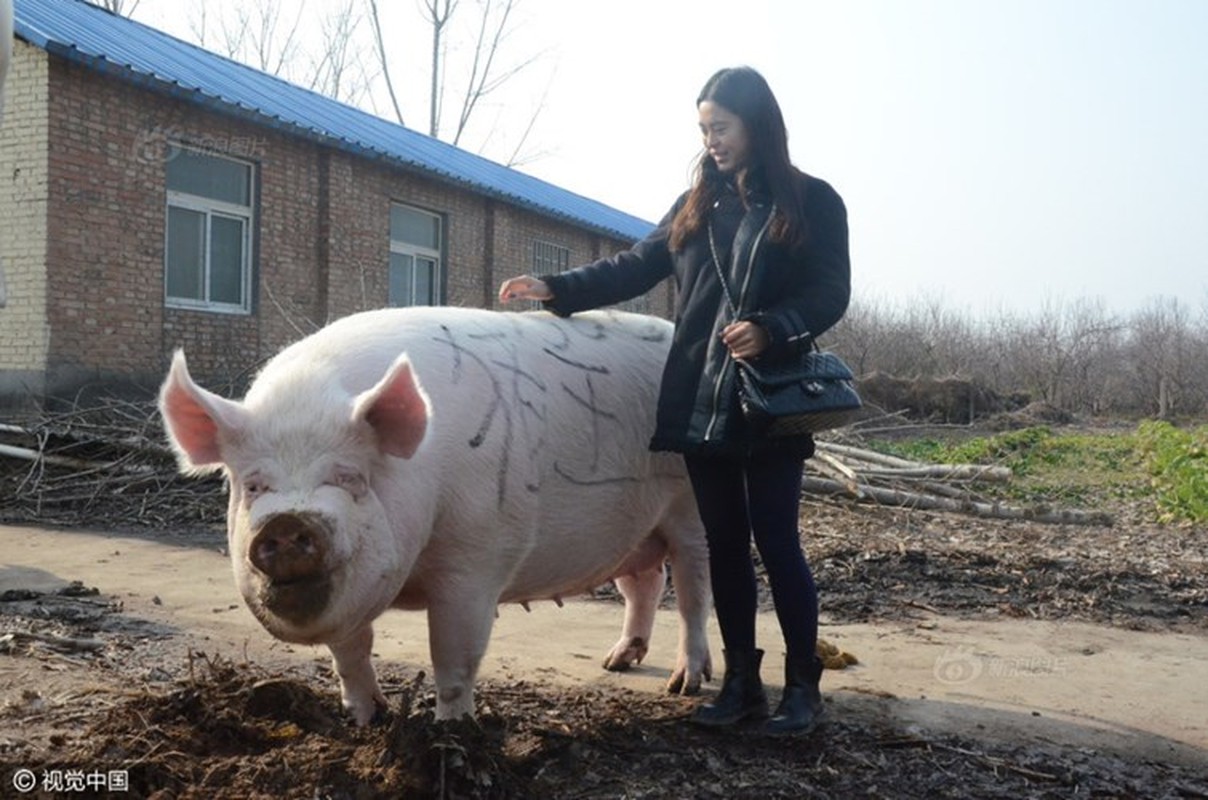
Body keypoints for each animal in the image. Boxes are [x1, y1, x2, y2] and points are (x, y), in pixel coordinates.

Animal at [157, 306, 710, 725]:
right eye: (254, 485)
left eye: (350, 478)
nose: (287, 523)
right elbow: (351, 653)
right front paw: (364, 720)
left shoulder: (478, 558)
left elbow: (453, 656)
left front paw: (452, 729)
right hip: (636, 529)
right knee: (645, 582)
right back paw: (617, 662)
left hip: (693, 509)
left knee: (692, 593)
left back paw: (684, 686)